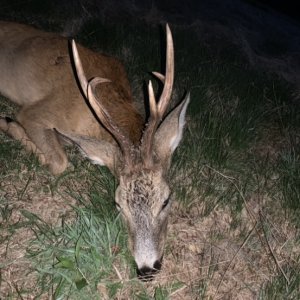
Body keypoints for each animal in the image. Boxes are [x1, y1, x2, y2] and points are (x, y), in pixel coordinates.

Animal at [0, 22, 189, 280]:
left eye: (166, 200)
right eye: (118, 205)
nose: (147, 269)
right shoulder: (34, 112)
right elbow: (59, 161)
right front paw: (8, 123)